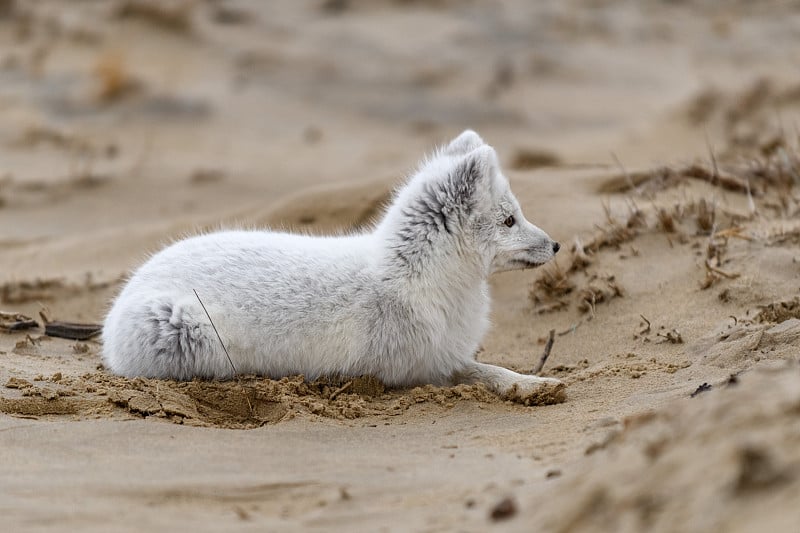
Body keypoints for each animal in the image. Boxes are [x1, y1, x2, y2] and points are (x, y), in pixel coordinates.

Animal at [103, 131, 564, 402]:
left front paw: (535, 383)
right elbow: (480, 372)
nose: (557, 244)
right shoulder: (420, 368)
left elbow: (487, 369)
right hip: (186, 330)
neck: (413, 273)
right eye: (510, 221)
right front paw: (531, 385)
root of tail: (110, 317)